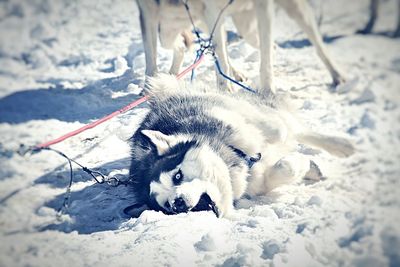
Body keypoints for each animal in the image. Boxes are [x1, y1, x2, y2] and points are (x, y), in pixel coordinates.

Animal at [125, 76, 354, 220]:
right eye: (166, 206)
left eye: (177, 176)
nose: (177, 203)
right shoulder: (256, 181)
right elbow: (283, 169)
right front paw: (300, 164)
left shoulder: (225, 114)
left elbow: (278, 130)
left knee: (294, 128)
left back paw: (341, 146)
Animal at [136, 0, 346, 96]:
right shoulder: (210, 10)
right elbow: (150, 58)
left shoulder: (264, 6)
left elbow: (265, 58)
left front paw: (268, 92)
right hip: (173, 29)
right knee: (183, 46)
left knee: (314, 44)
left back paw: (338, 76)